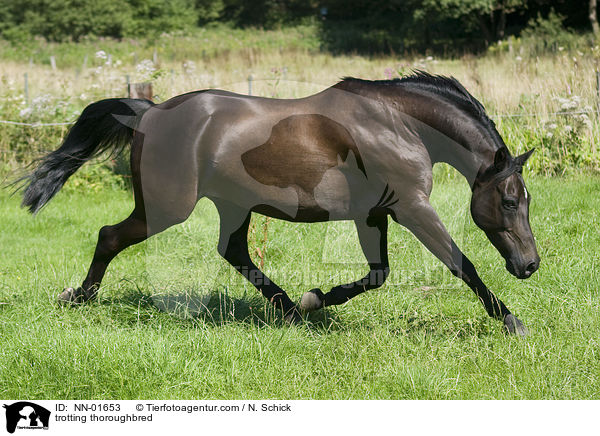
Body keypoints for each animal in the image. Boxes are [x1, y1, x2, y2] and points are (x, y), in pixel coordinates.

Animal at [22, 72, 540, 338]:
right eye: (509, 200)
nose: (530, 265)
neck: (397, 123)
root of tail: (149, 113)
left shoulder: (375, 213)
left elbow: (378, 274)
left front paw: (315, 299)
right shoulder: (412, 207)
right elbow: (462, 264)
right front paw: (511, 320)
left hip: (232, 205)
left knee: (233, 252)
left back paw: (290, 310)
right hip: (167, 207)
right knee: (110, 236)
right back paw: (79, 297)